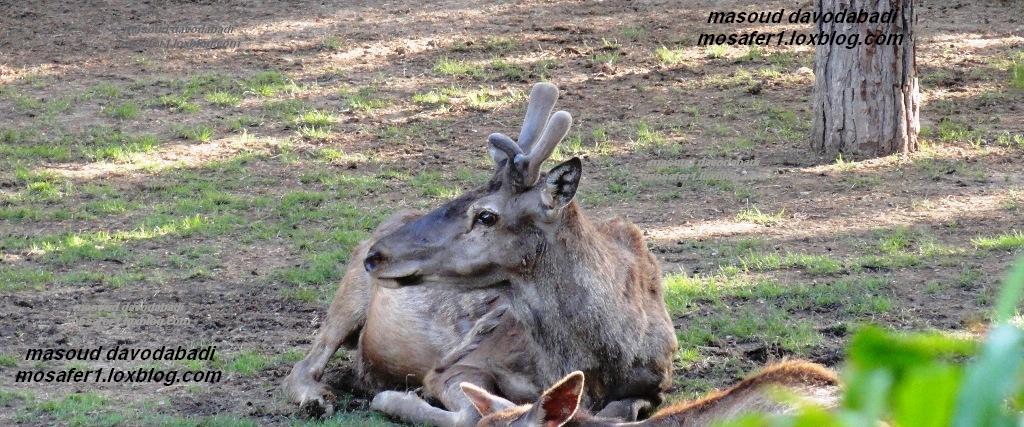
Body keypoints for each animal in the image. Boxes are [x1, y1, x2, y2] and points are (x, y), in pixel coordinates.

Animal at [282, 81, 679, 423]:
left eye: (486, 215)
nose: (376, 256)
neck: (601, 358)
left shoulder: (655, 385)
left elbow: (620, 412)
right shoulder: (461, 363)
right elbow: (478, 410)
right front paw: (395, 398)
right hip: (348, 297)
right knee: (304, 364)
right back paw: (317, 399)